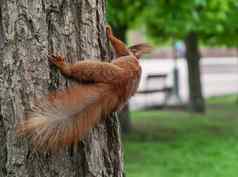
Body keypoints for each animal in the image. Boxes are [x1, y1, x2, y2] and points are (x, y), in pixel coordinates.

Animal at [15, 24, 152, 149]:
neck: (136, 60)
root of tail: (118, 85)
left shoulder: (126, 54)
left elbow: (119, 45)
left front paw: (109, 33)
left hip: (101, 69)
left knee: (80, 69)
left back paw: (64, 67)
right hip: (118, 100)